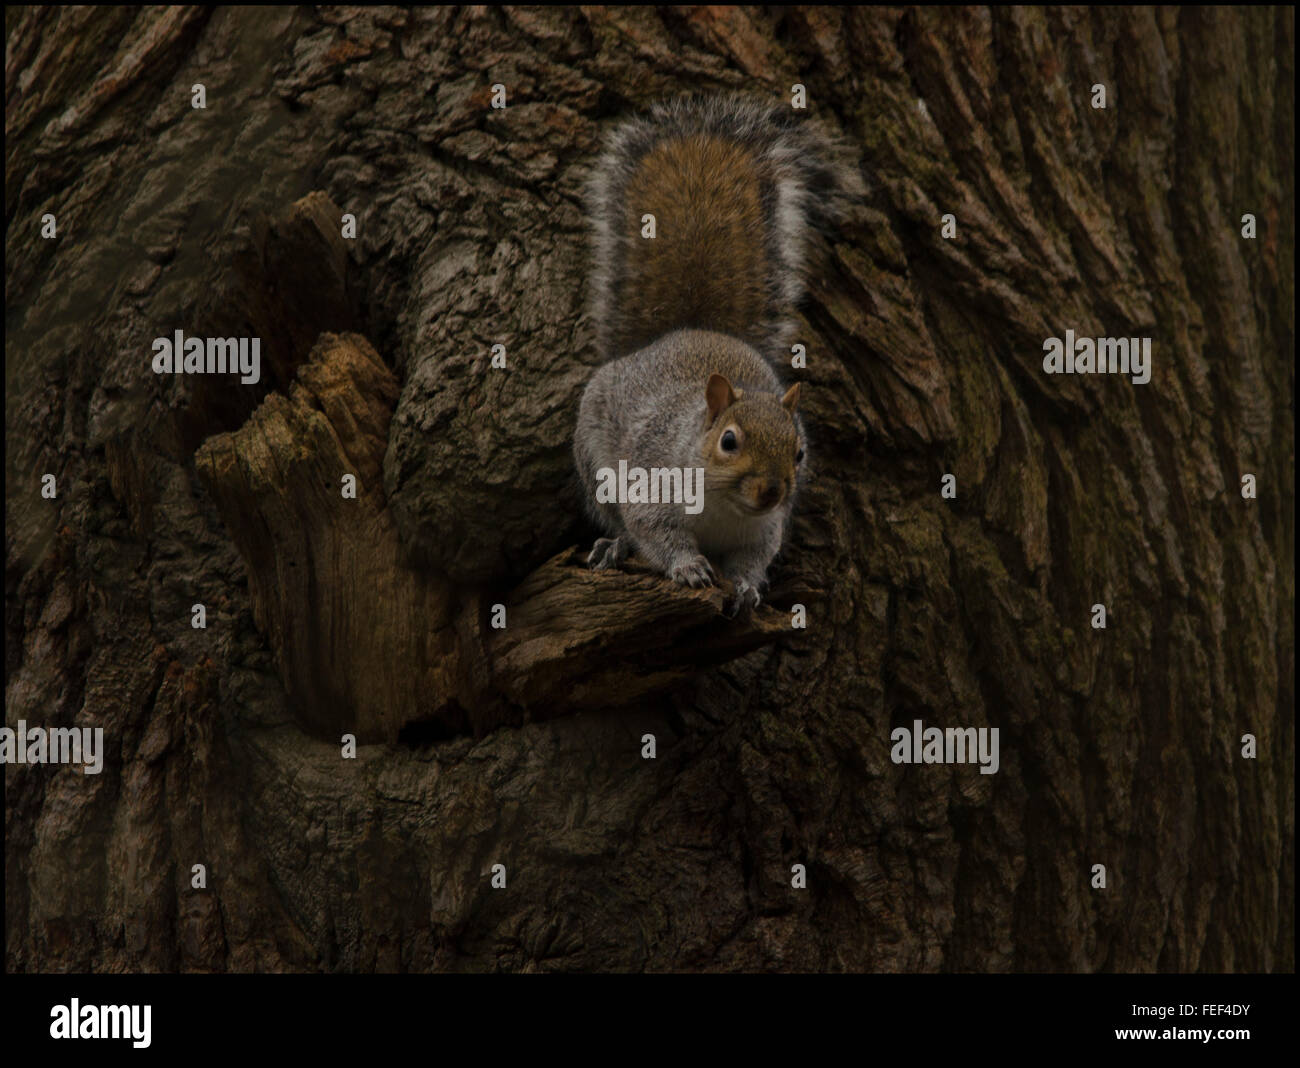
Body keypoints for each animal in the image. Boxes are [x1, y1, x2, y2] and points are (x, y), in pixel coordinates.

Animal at [573, 94, 854, 616]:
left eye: (800, 452)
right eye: (728, 441)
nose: (771, 491)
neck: (724, 504)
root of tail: (692, 328)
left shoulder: (763, 532)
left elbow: (752, 560)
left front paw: (745, 587)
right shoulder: (651, 485)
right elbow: (654, 532)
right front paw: (688, 567)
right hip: (593, 462)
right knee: (616, 519)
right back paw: (615, 544)